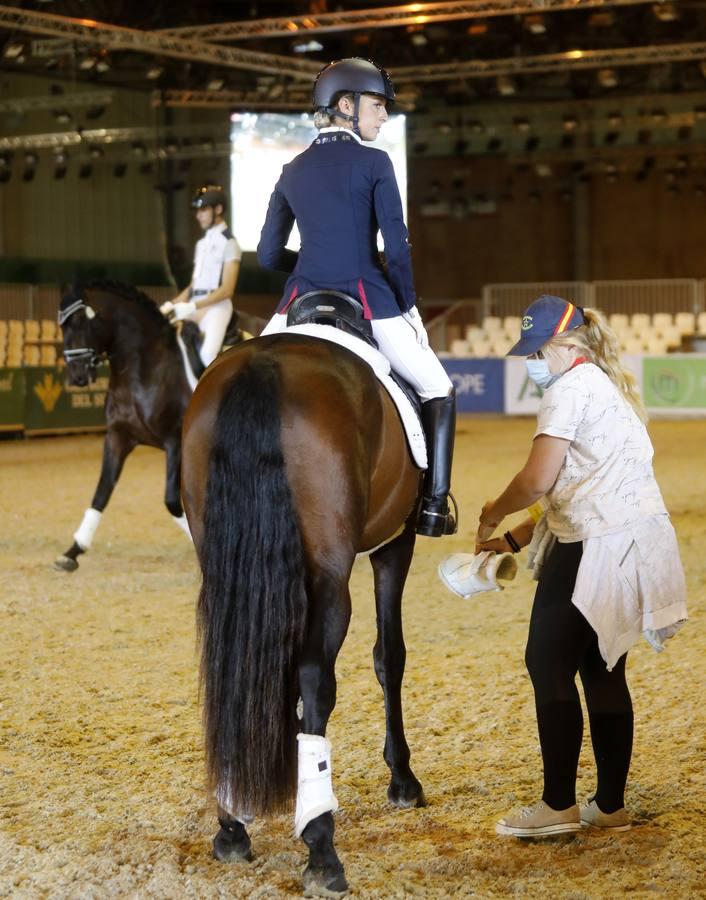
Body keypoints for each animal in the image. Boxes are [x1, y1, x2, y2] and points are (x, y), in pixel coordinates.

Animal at [54, 282, 192, 568]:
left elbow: (172, 501)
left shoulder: (175, 441)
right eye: (61, 326)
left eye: (82, 321)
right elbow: (101, 493)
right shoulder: (118, 438)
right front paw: (73, 551)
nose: (77, 376)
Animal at [182, 334, 424, 896]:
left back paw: (233, 825)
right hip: (332, 581)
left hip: (225, 569)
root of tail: (263, 366)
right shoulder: (395, 544)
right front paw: (402, 780)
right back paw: (322, 848)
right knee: (317, 682)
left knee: (235, 671)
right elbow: (390, 657)